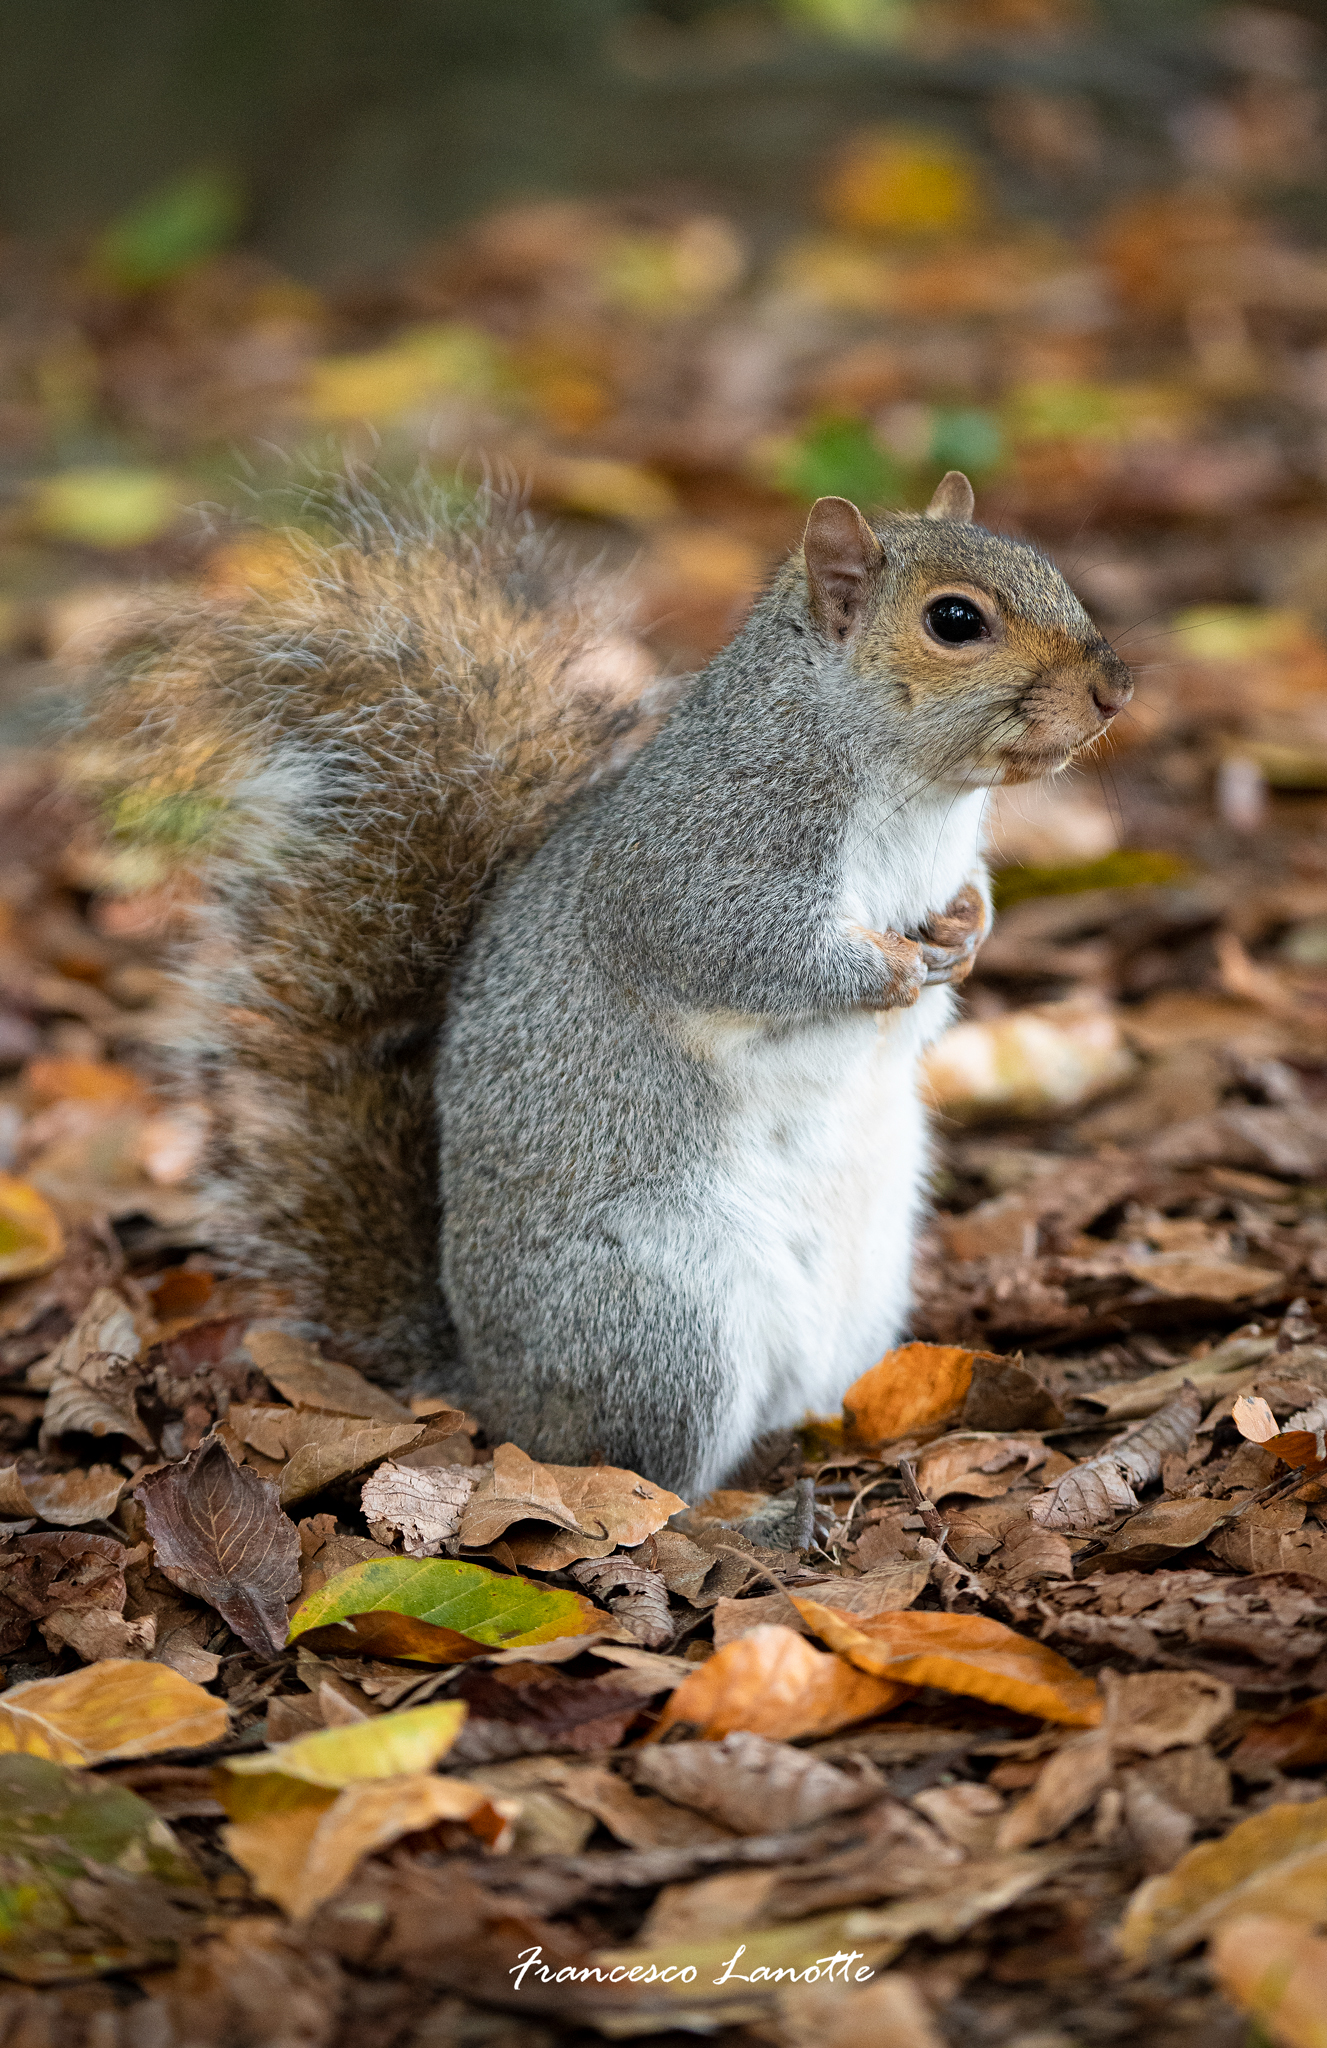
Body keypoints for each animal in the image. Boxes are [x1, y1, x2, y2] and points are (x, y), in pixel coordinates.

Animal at [86, 473, 1131, 1498]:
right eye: (954, 620)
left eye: (1047, 570)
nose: (1113, 690)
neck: (918, 795)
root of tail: (494, 1397)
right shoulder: (696, 861)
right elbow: (740, 950)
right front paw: (892, 966)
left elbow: (969, 901)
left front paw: (962, 932)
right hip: (664, 1324)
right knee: (647, 1475)